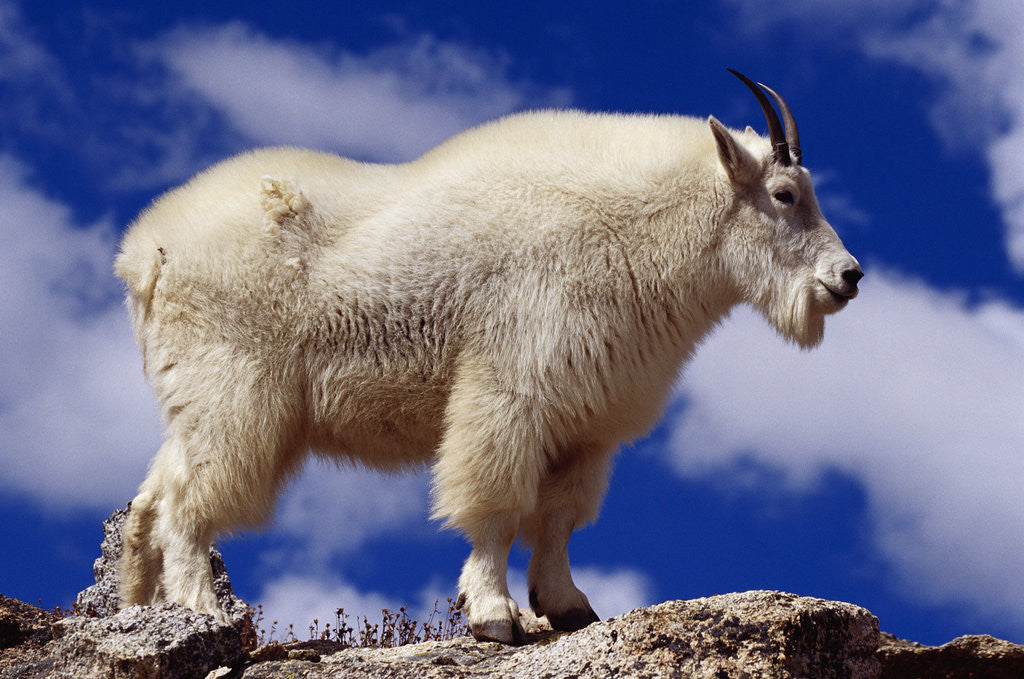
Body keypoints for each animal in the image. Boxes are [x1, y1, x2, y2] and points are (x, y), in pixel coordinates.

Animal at [115, 70, 862, 644]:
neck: (637, 230)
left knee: (149, 501)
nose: (849, 276)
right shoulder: (512, 390)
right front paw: (494, 614)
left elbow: (559, 519)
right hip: (234, 394)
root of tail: (144, 252)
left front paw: (568, 606)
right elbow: (498, 505)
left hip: (195, 399)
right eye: (785, 195)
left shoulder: (588, 422)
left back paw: (139, 613)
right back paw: (204, 612)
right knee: (186, 506)